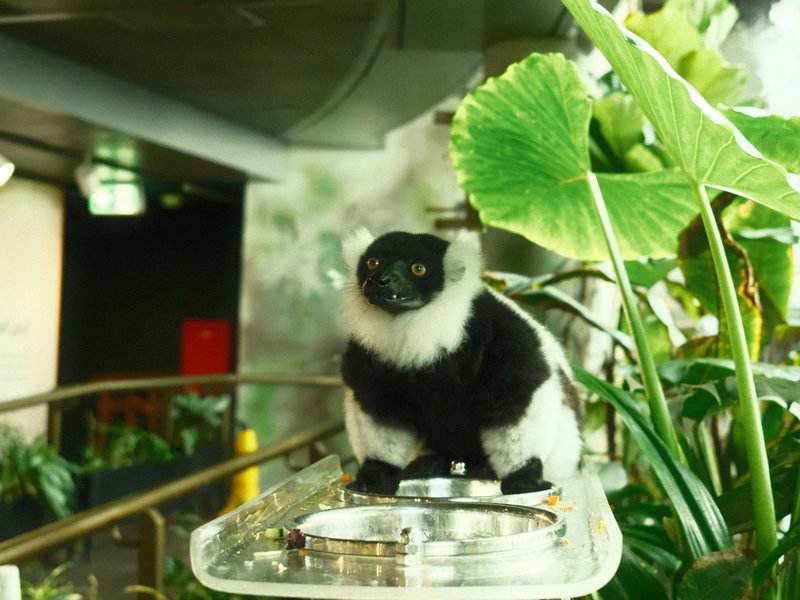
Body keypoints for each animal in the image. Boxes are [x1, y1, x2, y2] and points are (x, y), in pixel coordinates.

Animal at [339, 228, 582, 495]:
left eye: (418, 269)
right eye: (372, 263)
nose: (380, 280)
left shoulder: (501, 337)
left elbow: (518, 394)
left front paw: (523, 479)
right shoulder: (370, 355)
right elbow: (378, 407)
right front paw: (376, 475)